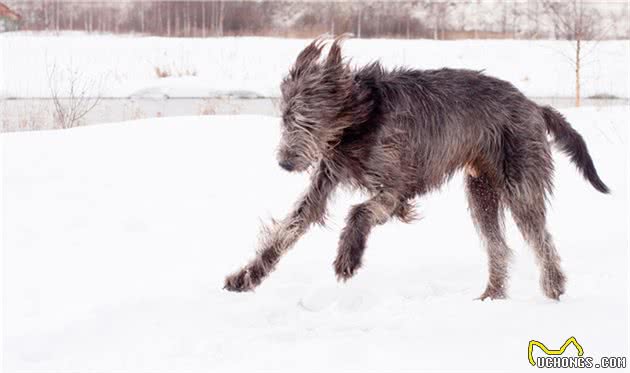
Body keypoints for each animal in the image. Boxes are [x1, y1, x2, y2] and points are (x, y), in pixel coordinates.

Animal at [225, 35, 608, 300]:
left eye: (307, 120)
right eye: (285, 118)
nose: (285, 163)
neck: (360, 120)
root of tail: (534, 106)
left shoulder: (394, 184)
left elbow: (360, 210)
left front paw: (348, 256)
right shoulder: (327, 176)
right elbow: (289, 227)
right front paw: (246, 276)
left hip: (520, 178)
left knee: (541, 237)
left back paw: (553, 288)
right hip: (481, 190)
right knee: (498, 245)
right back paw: (492, 296)